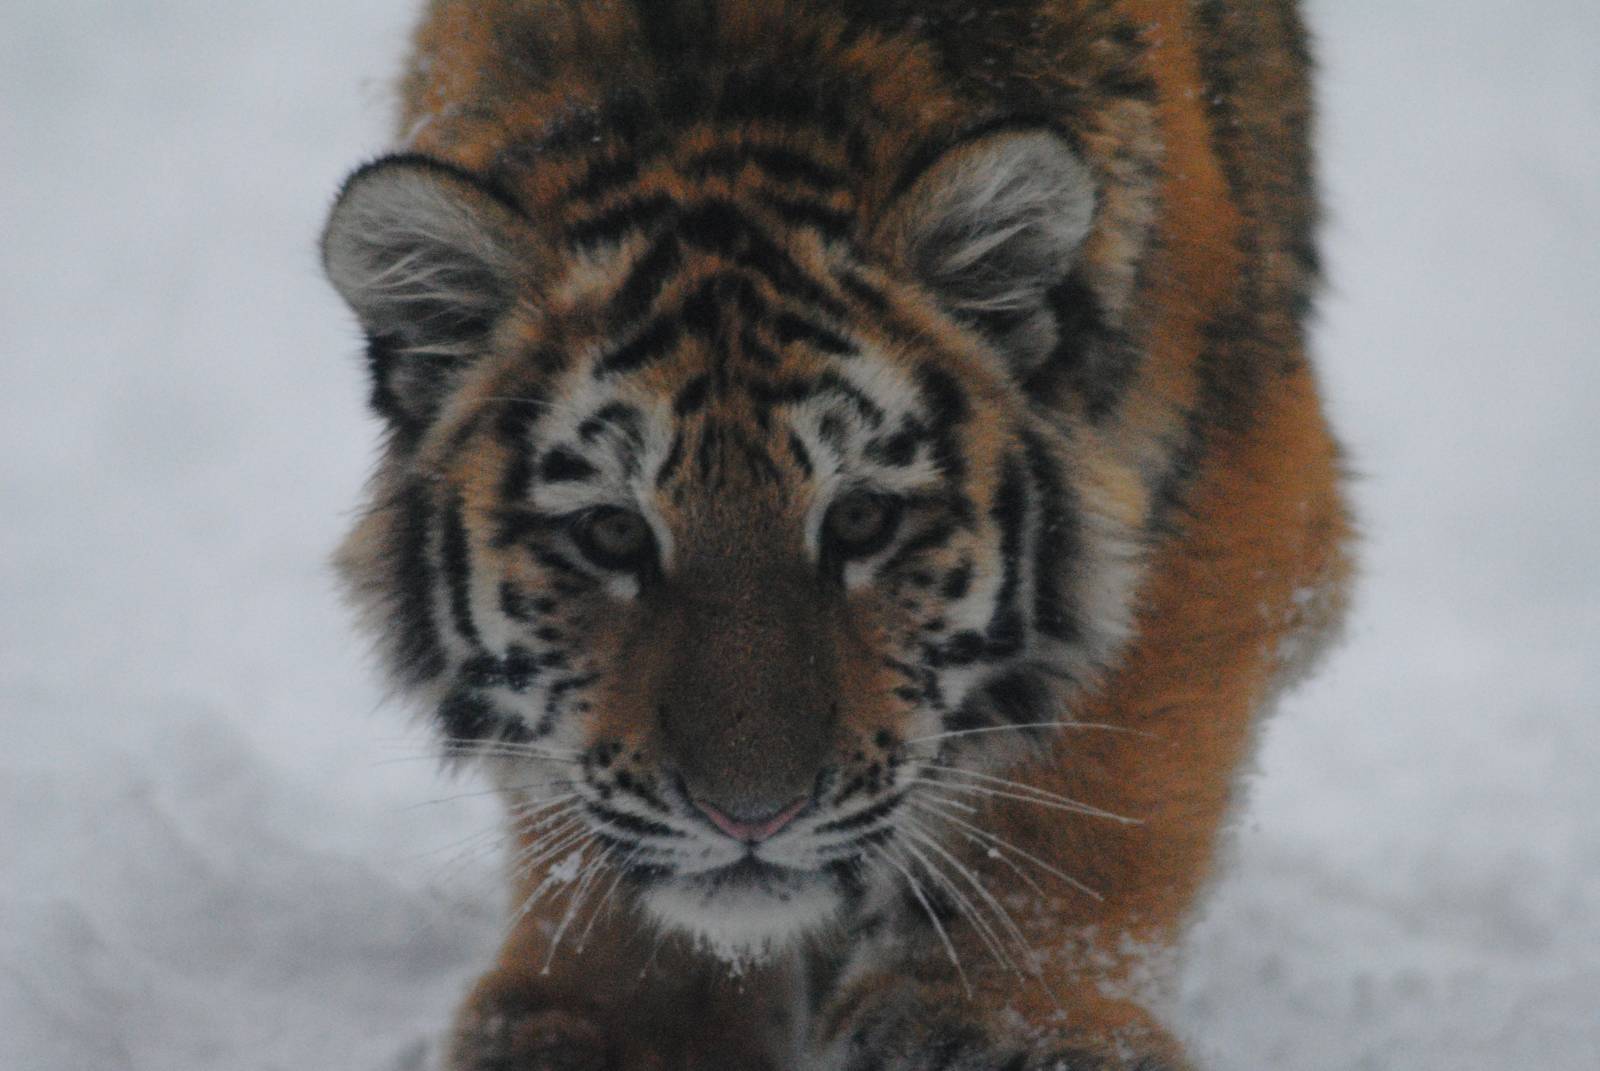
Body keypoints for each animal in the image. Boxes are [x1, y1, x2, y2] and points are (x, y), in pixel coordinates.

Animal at [319, 1, 1352, 1068]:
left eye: (861, 518)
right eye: (611, 532)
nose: (751, 816)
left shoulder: (1235, 473)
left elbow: (1099, 780)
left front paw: (1005, 1021)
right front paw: (630, 1026)